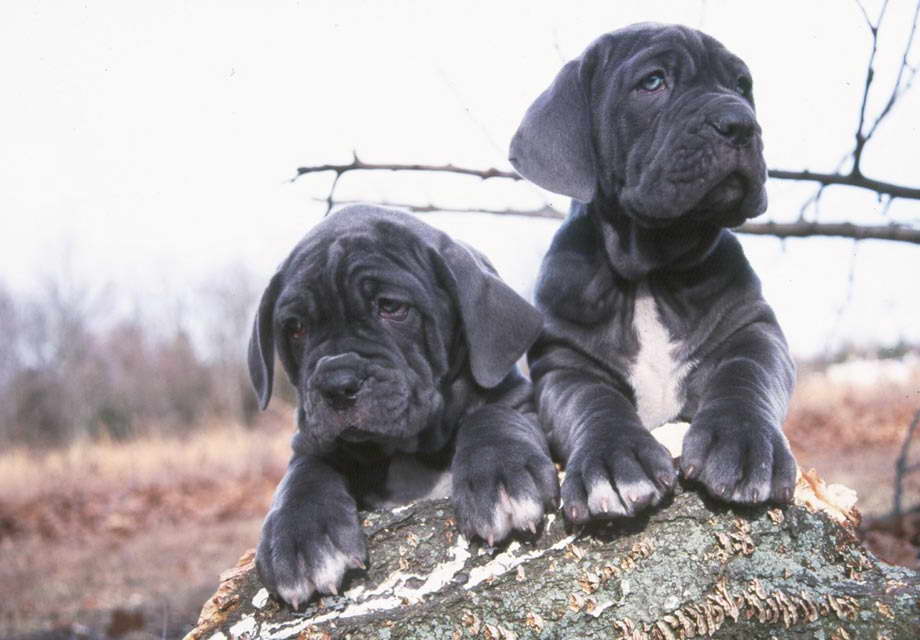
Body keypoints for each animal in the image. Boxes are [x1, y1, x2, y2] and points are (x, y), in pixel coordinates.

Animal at [248, 204, 556, 604]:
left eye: (391, 307)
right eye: (296, 328)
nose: (336, 383)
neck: (410, 452)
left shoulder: (519, 399)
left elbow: (495, 414)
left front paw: (501, 476)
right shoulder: (311, 444)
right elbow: (304, 471)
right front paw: (301, 537)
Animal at [510, 23, 796, 524]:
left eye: (742, 86)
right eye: (653, 82)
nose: (741, 122)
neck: (651, 272)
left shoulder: (753, 330)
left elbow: (745, 376)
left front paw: (743, 443)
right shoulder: (564, 365)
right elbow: (594, 403)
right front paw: (614, 461)